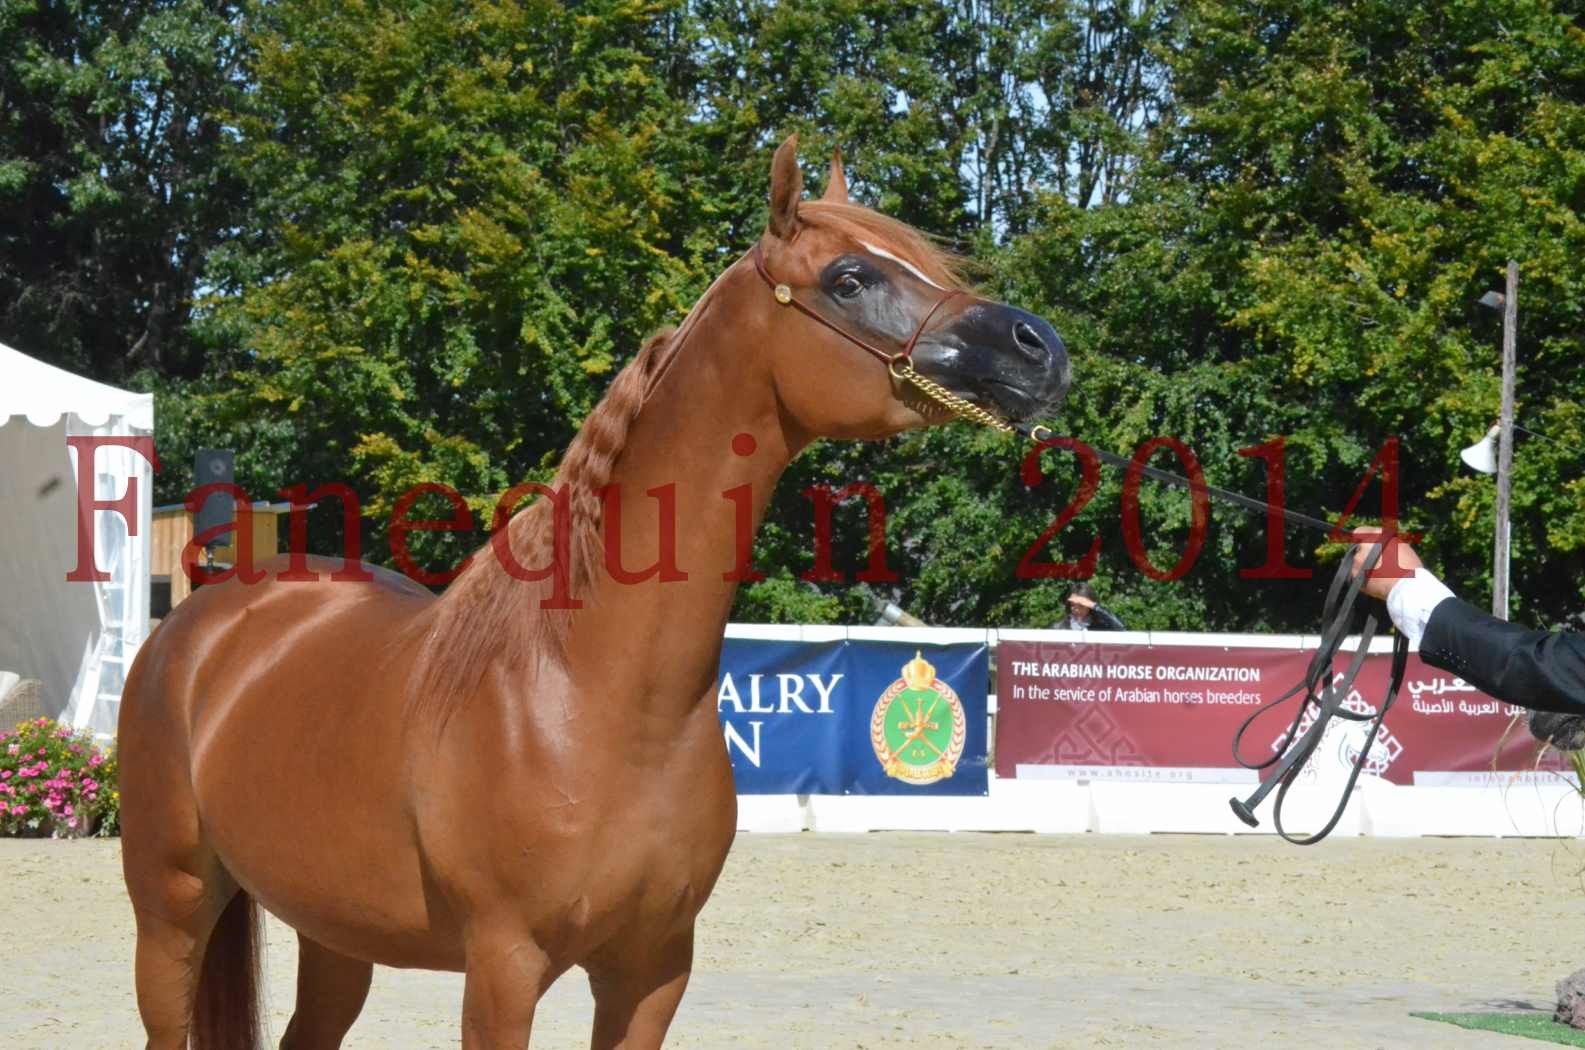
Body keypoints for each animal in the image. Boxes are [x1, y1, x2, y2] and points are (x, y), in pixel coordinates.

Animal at [120, 135, 1065, 1046]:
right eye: (849, 278)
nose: (1039, 349)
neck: (593, 696)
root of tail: (198, 622)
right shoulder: (502, 970)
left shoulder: (653, 969)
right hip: (171, 910)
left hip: (336, 930)